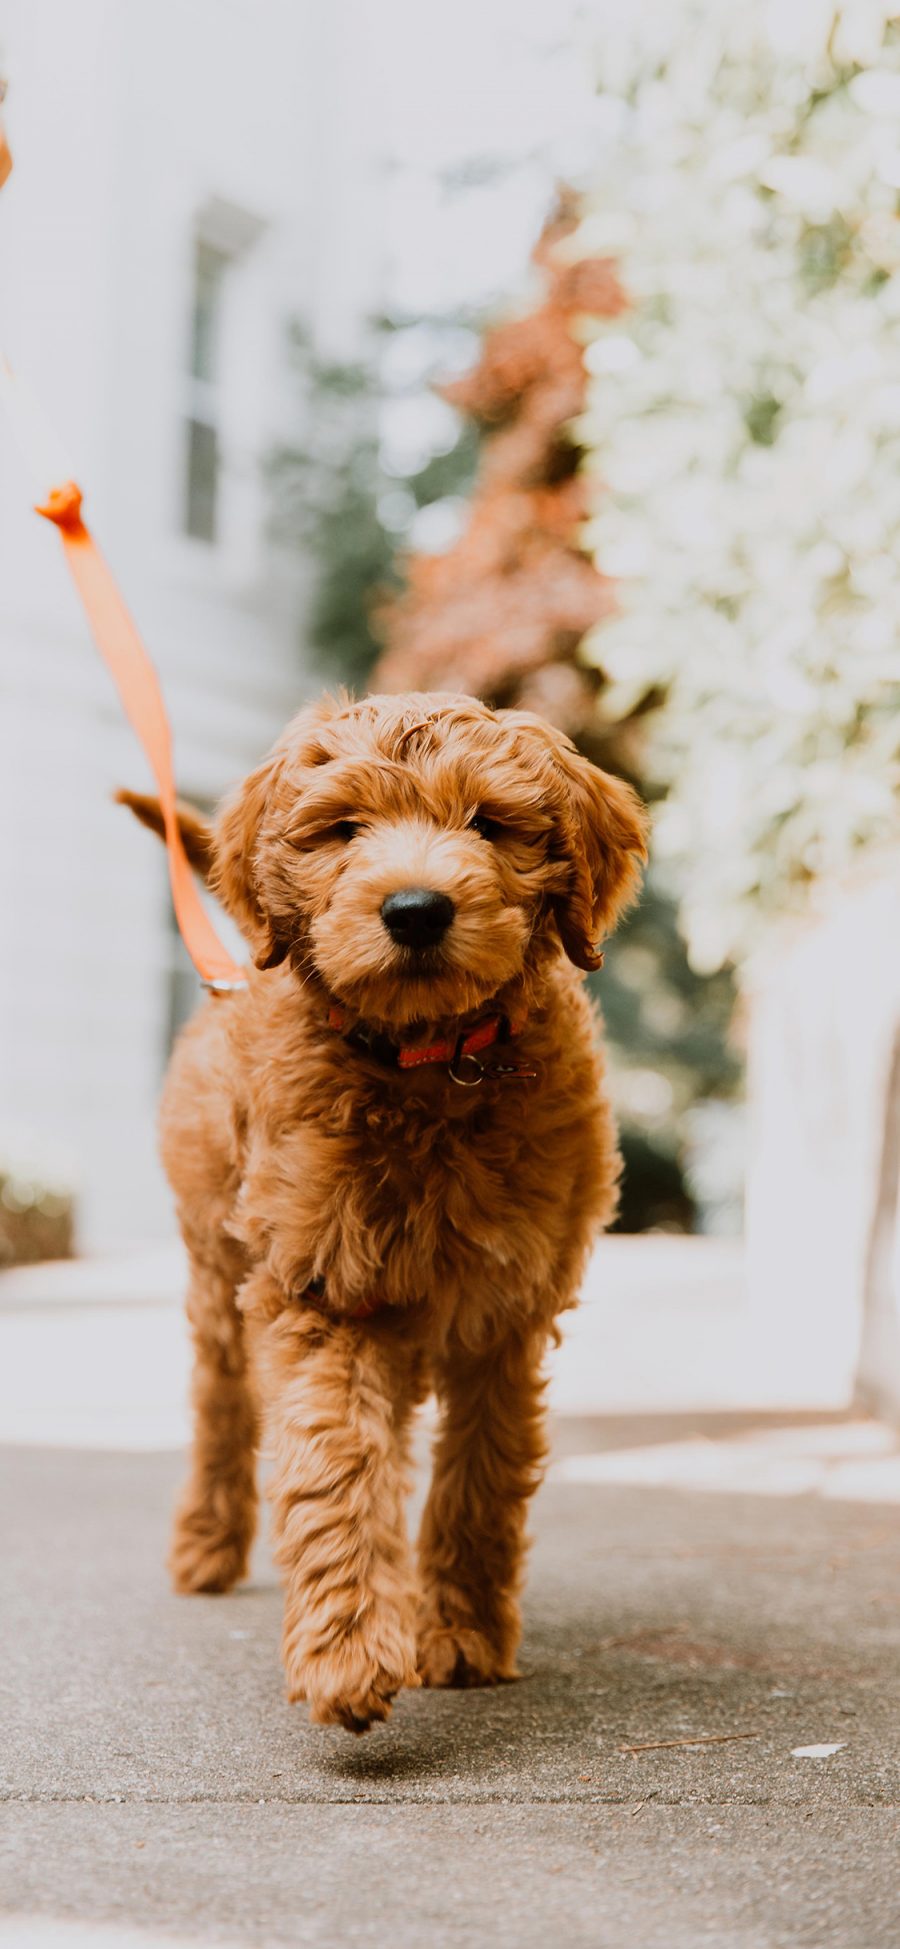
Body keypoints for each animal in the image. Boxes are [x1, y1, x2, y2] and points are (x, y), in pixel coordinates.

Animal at [123, 689, 646, 1738]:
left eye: (488, 823)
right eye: (343, 831)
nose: (415, 909)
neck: (433, 1063)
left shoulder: (507, 1310)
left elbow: (482, 1474)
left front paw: (462, 1633)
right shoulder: (322, 1288)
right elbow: (335, 1463)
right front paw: (347, 1652)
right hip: (215, 1268)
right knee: (221, 1405)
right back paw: (206, 1540)